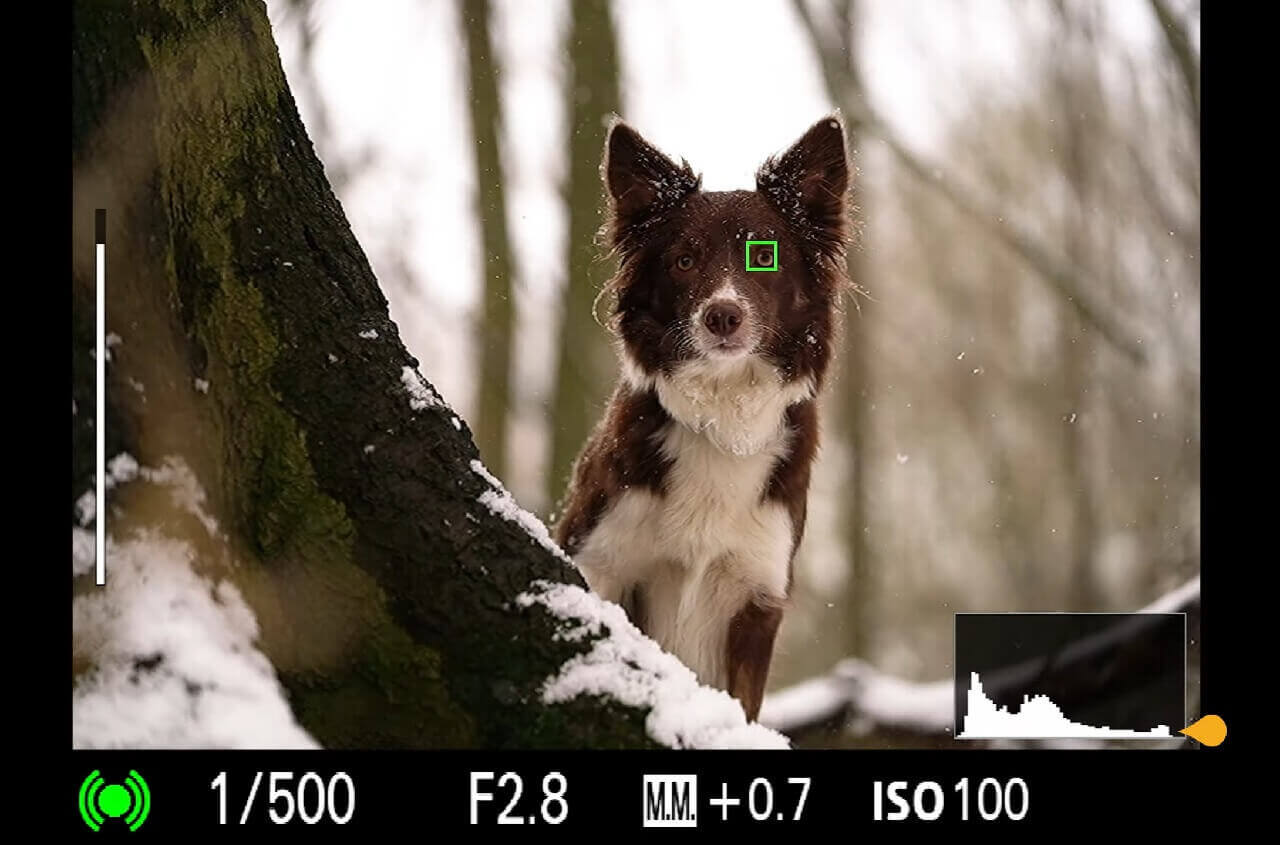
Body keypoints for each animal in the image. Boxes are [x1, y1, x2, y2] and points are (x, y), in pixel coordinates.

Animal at [550, 113, 849, 722]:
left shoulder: (756, 604)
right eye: (683, 260)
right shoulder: (602, 563)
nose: (722, 316)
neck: (721, 414)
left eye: (765, 256)